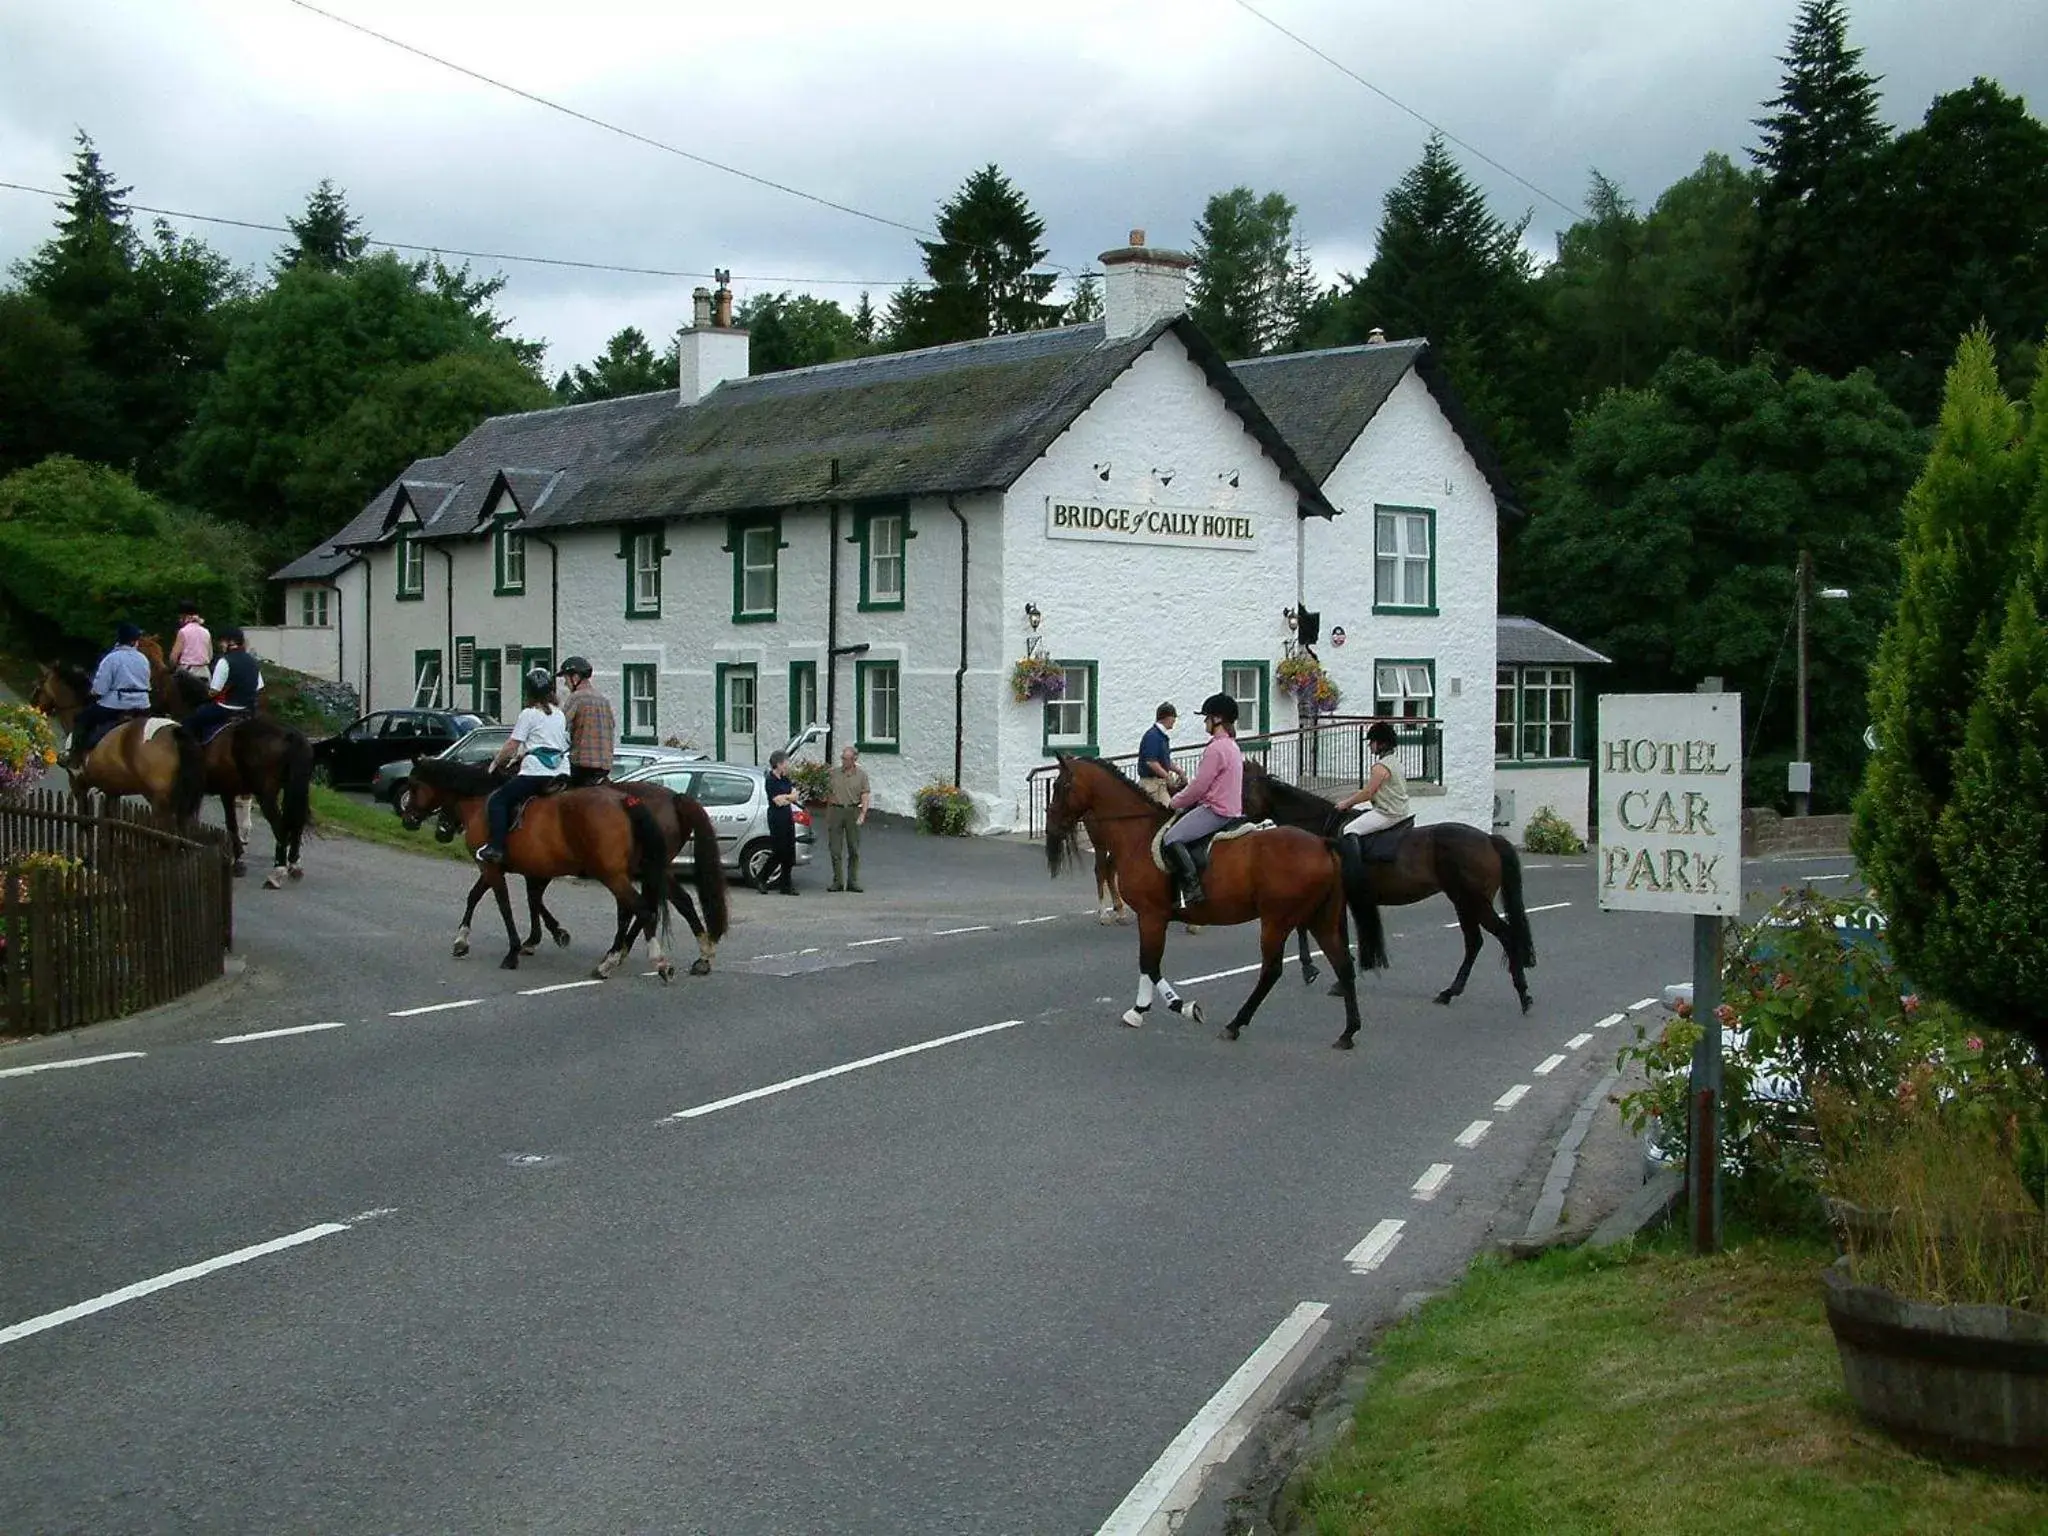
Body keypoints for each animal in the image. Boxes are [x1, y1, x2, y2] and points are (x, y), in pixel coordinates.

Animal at [29, 663, 205, 823]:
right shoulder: (112, 790)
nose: (32, 710)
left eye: (38, 687)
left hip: (159, 801)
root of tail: (176, 732)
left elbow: (84, 820)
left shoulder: (78, 783)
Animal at [148, 651, 313, 888]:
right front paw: (237, 860)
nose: (148, 709)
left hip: (266, 793)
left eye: (156, 686)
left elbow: (190, 815)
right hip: (293, 789)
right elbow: (230, 824)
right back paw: (294, 866)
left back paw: (276, 873)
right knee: (296, 825)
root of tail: (290, 734)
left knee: (280, 826)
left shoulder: (196, 787)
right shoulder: (227, 790)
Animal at [395, 757, 724, 987]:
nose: (410, 819)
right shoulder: (529, 868)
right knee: (671, 904)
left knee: (641, 909)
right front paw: (538, 937)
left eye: (413, 785)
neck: (483, 800)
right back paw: (696, 955)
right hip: (648, 869)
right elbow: (511, 898)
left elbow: (503, 903)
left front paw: (515, 947)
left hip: (619, 873)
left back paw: (629, 959)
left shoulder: (492, 865)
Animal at [1048, 753, 1368, 1048]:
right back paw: (1348, 1032)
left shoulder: (1152, 915)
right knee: (1342, 965)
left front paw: (1175, 1007)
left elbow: (1150, 964)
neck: (1139, 835)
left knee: (1272, 970)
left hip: (1277, 921)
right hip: (1320, 918)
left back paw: (1236, 1023)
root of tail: (1324, 844)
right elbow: (1148, 965)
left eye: (1062, 785)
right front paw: (1144, 1009)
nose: (1052, 826)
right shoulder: (1152, 917)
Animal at [1228, 761, 1540, 1024]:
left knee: (1505, 936)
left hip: (1475, 902)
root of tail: (1488, 838)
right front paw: (1332, 976)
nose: (1231, 819)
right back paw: (1450, 992)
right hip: (1463, 901)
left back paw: (1523, 995)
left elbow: (1308, 931)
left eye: (1244, 787)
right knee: (1474, 942)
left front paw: (1315, 972)